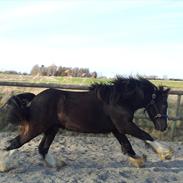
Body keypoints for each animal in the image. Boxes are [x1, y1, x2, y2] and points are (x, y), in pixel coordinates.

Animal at [0, 76, 173, 171]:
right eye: (164, 104)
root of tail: (35, 99)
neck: (118, 100)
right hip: (37, 127)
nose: (163, 127)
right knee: (16, 143)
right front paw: (166, 153)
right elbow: (146, 135)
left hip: (51, 129)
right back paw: (4, 166)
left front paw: (139, 160)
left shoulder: (116, 128)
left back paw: (58, 164)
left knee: (42, 148)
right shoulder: (124, 125)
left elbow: (128, 146)